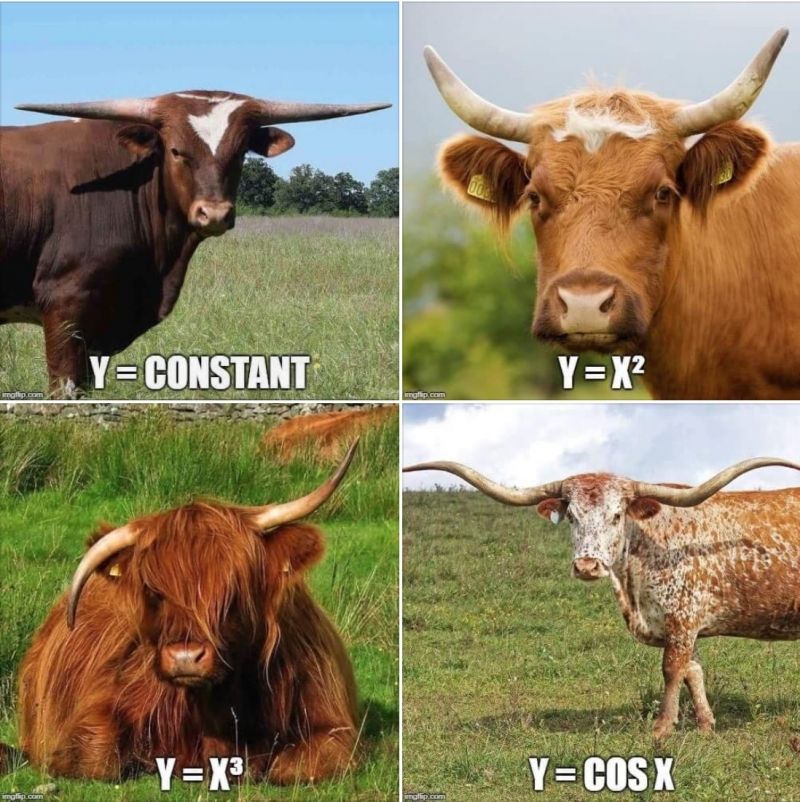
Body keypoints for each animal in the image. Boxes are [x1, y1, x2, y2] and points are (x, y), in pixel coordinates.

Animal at [15, 443, 360, 782]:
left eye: (234, 590)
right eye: (153, 592)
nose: (185, 657)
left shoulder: (332, 722)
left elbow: (293, 767)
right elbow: (96, 758)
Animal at [403, 456, 800, 740]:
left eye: (616, 514)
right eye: (571, 516)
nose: (587, 565)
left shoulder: (682, 618)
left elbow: (673, 670)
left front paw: (661, 730)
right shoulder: (680, 625)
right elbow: (694, 673)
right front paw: (705, 726)